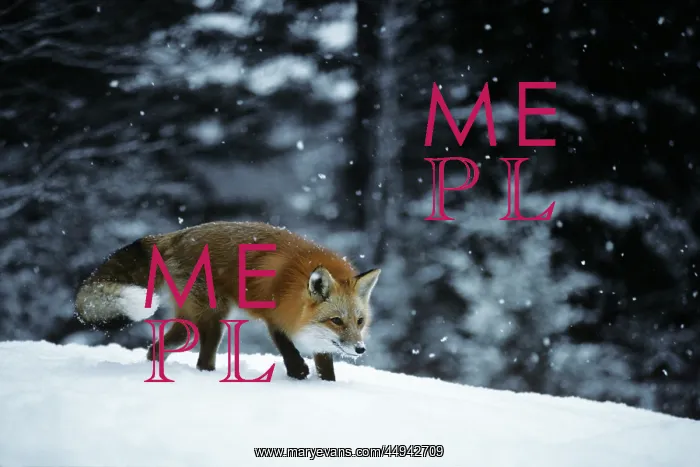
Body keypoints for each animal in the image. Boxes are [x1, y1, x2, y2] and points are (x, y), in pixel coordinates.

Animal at [74, 221, 381, 381]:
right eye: (336, 320)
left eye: (359, 321)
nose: (360, 349)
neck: (292, 288)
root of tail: (175, 236)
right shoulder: (273, 315)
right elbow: (286, 345)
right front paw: (298, 372)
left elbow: (325, 365)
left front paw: (326, 386)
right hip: (213, 318)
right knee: (201, 359)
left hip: (192, 321)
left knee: (158, 347)